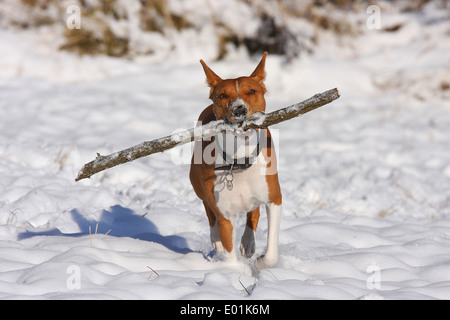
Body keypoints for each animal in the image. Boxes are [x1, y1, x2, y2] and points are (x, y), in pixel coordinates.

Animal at [189, 52, 282, 270]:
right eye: (223, 95)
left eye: (252, 91)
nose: (239, 110)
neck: (239, 160)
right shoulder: (224, 214)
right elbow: (229, 252)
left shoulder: (274, 198)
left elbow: (271, 253)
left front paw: (261, 262)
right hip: (198, 184)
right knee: (208, 209)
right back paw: (216, 241)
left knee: (253, 213)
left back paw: (248, 242)